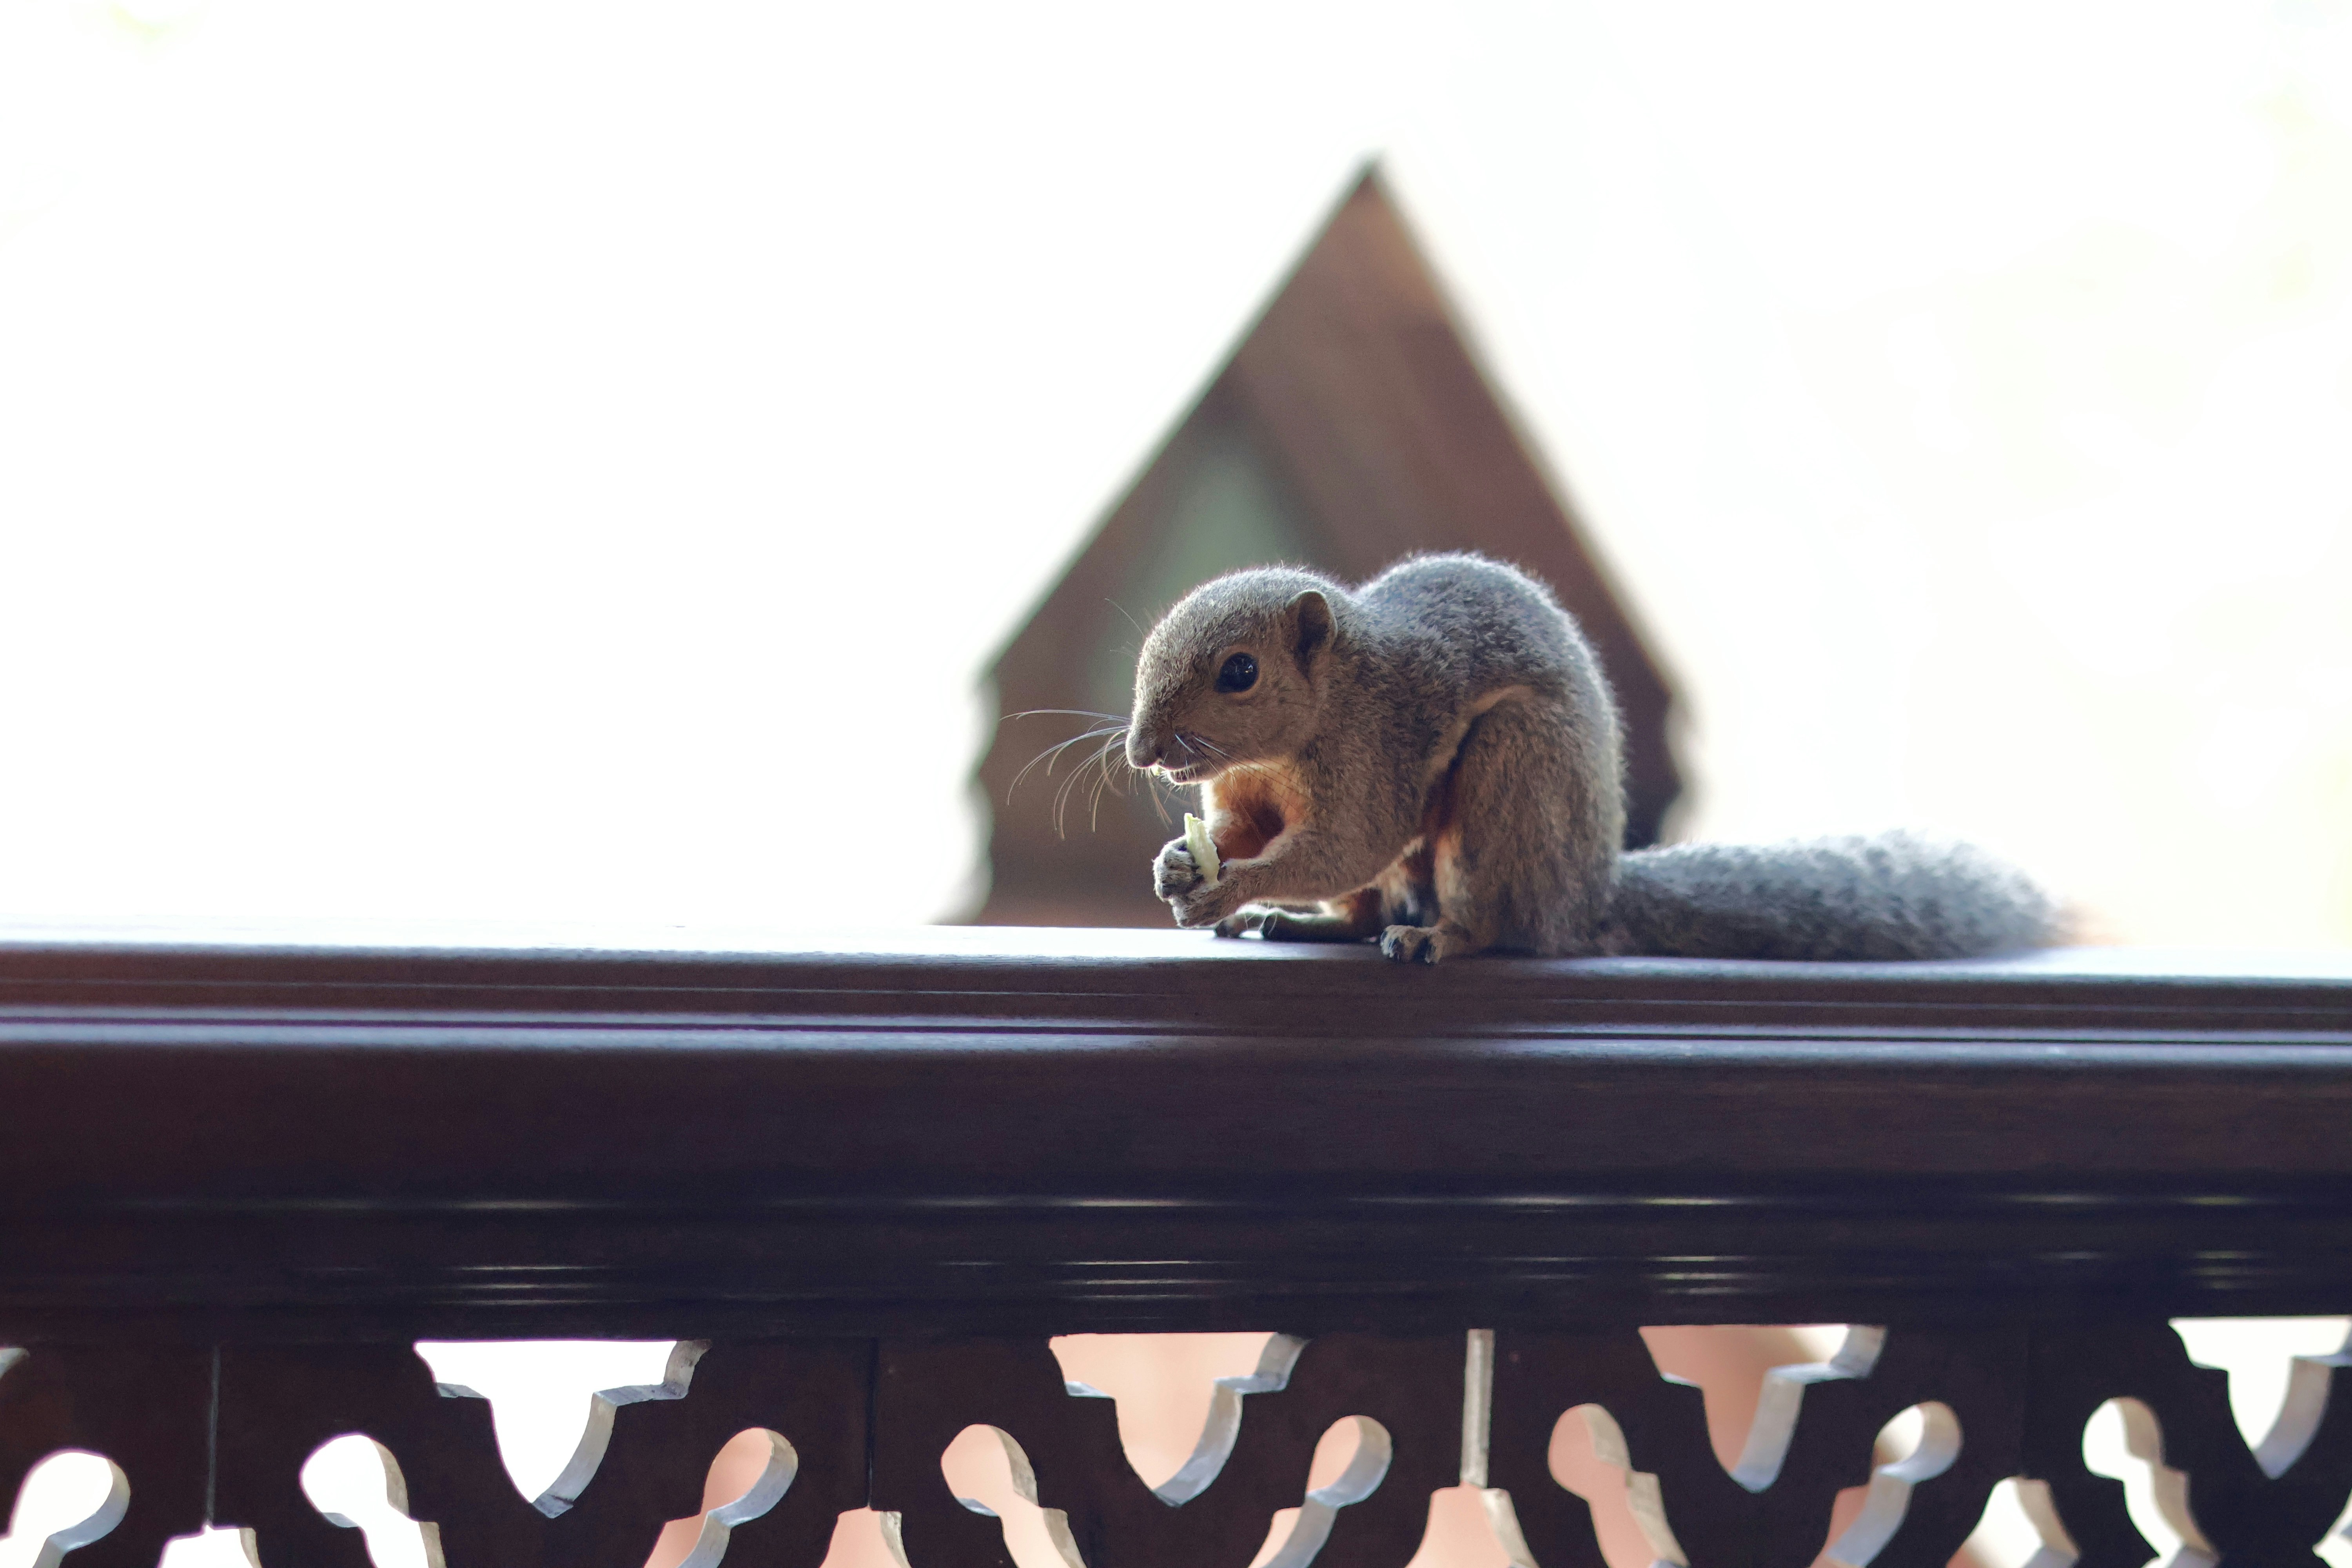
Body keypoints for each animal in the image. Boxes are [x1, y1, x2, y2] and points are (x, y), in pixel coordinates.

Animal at [1125, 553, 2056, 963]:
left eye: (1239, 672)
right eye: (1147, 646)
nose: (1142, 750)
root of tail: (1585, 893)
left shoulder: (1377, 755)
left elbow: (1343, 844)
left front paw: (1232, 885)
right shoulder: (1249, 792)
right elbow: (1248, 833)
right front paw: (1181, 865)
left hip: (1510, 780)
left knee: (1491, 921)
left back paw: (1436, 937)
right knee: (1361, 908)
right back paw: (1306, 922)